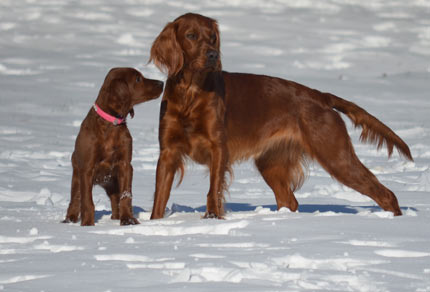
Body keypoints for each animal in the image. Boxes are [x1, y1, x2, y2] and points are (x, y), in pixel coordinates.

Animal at [63, 68, 164, 226]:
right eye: (138, 79)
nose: (162, 83)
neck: (111, 124)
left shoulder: (125, 165)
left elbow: (126, 195)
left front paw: (128, 219)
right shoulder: (87, 169)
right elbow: (87, 201)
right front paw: (87, 224)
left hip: (111, 183)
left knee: (115, 199)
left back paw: (116, 217)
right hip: (77, 175)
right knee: (75, 198)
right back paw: (69, 220)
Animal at [149, 13, 414, 219]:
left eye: (212, 37)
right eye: (191, 36)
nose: (214, 55)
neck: (190, 93)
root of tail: (321, 96)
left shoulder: (218, 148)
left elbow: (213, 190)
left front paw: (212, 218)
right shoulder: (168, 151)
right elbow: (160, 197)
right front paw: (155, 224)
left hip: (335, 156)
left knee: (386, 194)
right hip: (271, 163)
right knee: (290, 201)